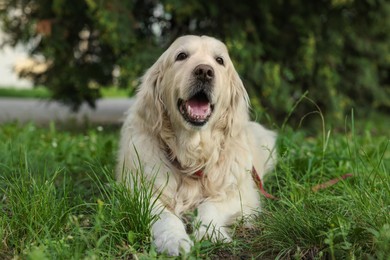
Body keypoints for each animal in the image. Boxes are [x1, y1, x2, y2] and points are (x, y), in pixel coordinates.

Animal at [117, 35, 276, 256]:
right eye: (181, 56)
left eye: (219, 60)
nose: (204, 71)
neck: (192, 154)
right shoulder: (139, 194)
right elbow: (165, 216)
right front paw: (174, 240)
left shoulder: (240, 195)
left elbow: (209, 206)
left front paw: (210, 233)